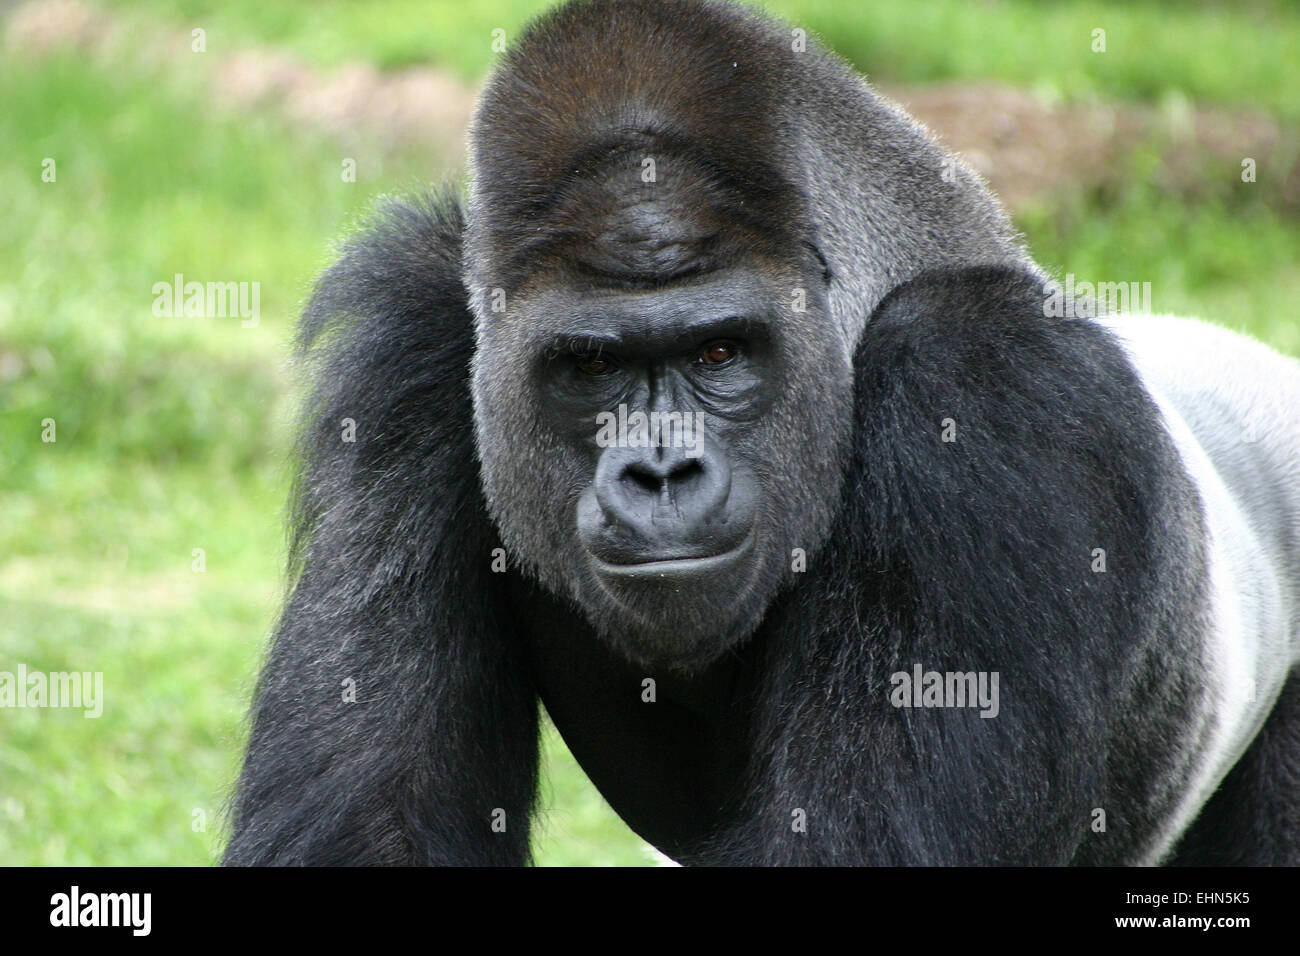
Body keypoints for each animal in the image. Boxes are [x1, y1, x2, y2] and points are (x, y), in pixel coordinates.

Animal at [223, 0, 1300, 868]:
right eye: (591, 368)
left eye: (720, 352)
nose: (660, 471)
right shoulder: (412, 334)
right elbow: (370, 823)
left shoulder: (998, 383)